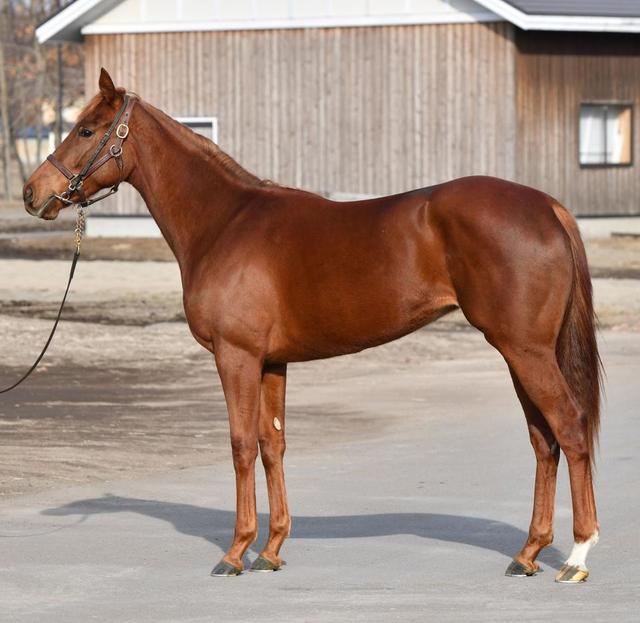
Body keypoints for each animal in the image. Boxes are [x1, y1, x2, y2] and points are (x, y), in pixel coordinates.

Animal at [23, 69, 601, 583]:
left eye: (87, 130)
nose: (32, 193)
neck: (224, 221)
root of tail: (547, 207)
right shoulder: (272, 362)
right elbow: (272, 445)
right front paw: (271, 549)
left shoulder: (236, 356)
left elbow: (240, 444)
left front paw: (235, 552)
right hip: (520, 353)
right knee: (543, 441)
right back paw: (527, 554)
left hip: (524, 350)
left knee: (569, 429)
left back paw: (576, 556)